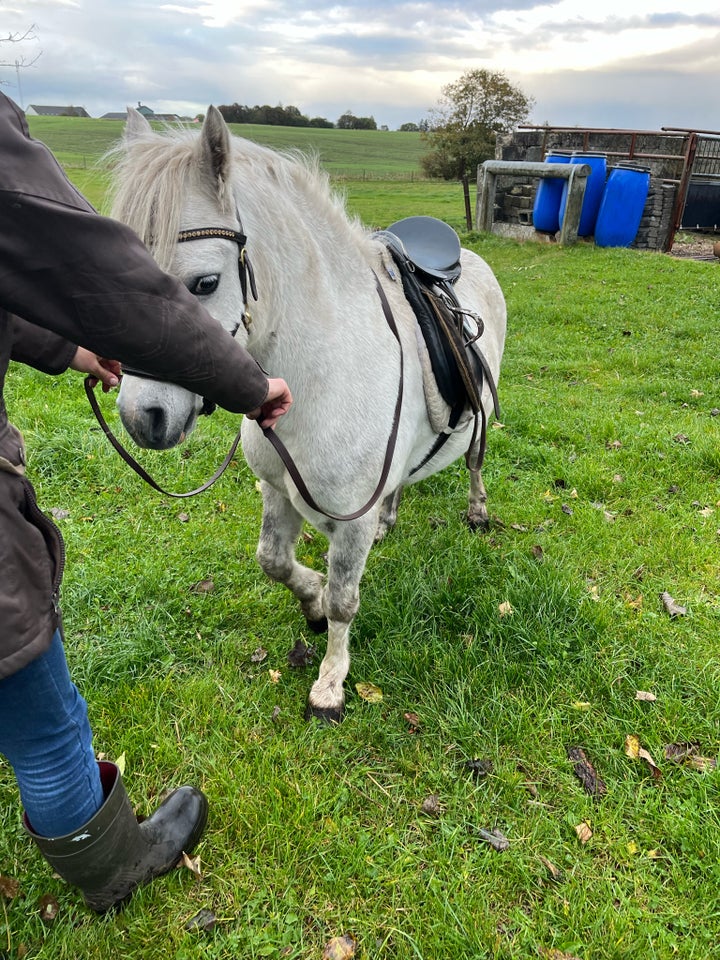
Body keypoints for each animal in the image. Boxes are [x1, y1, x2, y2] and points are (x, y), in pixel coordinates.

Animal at [112, 107, 506, 720]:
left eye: (205, 284)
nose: (140, 416)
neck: (324, 371)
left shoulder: (350, 520)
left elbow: (346, 600)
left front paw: (330, 682)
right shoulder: (276, 492)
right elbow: (274, 561)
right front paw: (312, 603)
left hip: (478, 429)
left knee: (474, 464)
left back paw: (477, 510)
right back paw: (391, 519)